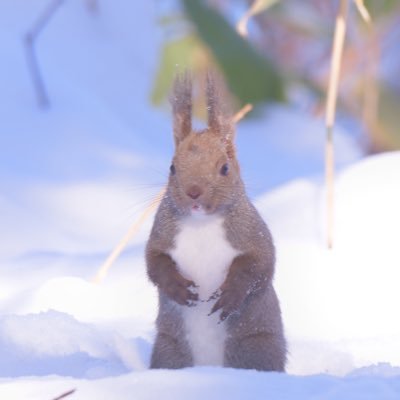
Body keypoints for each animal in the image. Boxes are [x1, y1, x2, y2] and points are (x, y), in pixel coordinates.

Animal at [145, 72, 286, 372]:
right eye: (172, 167)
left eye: (225, 168)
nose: (194, 192)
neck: (202, 224)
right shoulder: (162, 234)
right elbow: (155, 263)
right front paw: (178, 288)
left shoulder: (252, 232)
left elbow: (259, 266)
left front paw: (230, 294)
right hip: (168, 351)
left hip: (256, 347)